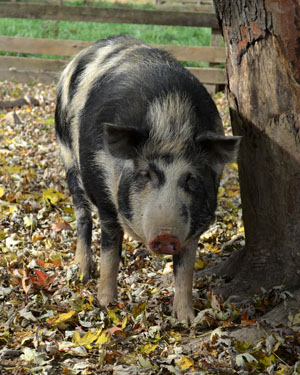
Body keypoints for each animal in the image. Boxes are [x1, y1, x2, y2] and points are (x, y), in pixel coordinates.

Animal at [54, 34, 241, 324]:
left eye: (190, 178)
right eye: (145, 174)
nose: (165, 236)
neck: (171, 124)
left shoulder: (196, 222)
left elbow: (185, 269)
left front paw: (187, 319)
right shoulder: (107, 205)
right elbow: (110, 253)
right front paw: (106, 304)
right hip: (67, 156)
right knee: (82, 215)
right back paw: (83, 273)